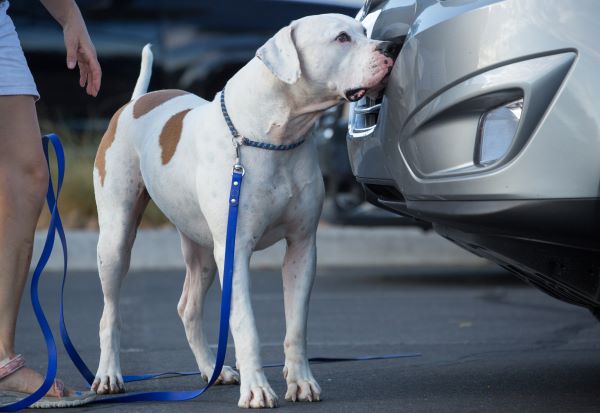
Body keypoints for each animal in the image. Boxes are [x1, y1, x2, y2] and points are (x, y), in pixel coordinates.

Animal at [91, 13, 396, 408]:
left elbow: (296, 325)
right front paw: (257, 389)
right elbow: (244, 324)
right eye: (342, 37)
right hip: (116, 240)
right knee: (110, 313)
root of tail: (136, 102)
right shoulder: (234, 250)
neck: (274, 135)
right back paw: (108, 374)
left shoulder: (301, 248)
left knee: (189, 307)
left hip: (203, 250)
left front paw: (301, 381)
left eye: (364, 32)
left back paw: (213, 369)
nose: (392, 46)